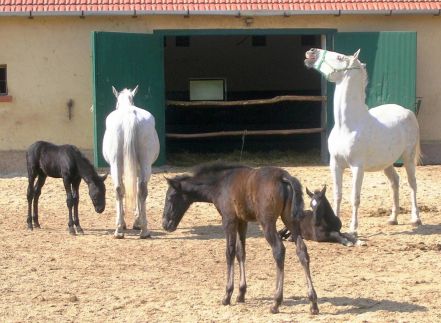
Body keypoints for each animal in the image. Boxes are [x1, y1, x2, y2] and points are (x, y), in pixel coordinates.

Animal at [102, 86, 160, 240]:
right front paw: (134, 222)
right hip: (145, 165)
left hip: (116, 165)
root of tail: (129, 115)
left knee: (120, 189)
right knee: (140, 190)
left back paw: (122, 229)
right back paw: (143, 231)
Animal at [302, 48, 420, 235]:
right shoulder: (335, 165)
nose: (311, 52)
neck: (348, 125)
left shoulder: (357, 167)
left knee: (412, 183)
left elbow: (354, 198)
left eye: (339, 57)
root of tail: (407, 111)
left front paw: (353, 228)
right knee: (395, 182)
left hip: (408, 158)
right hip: (387, 163)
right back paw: (393, 218)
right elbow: (337, 195)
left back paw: (416, 219)